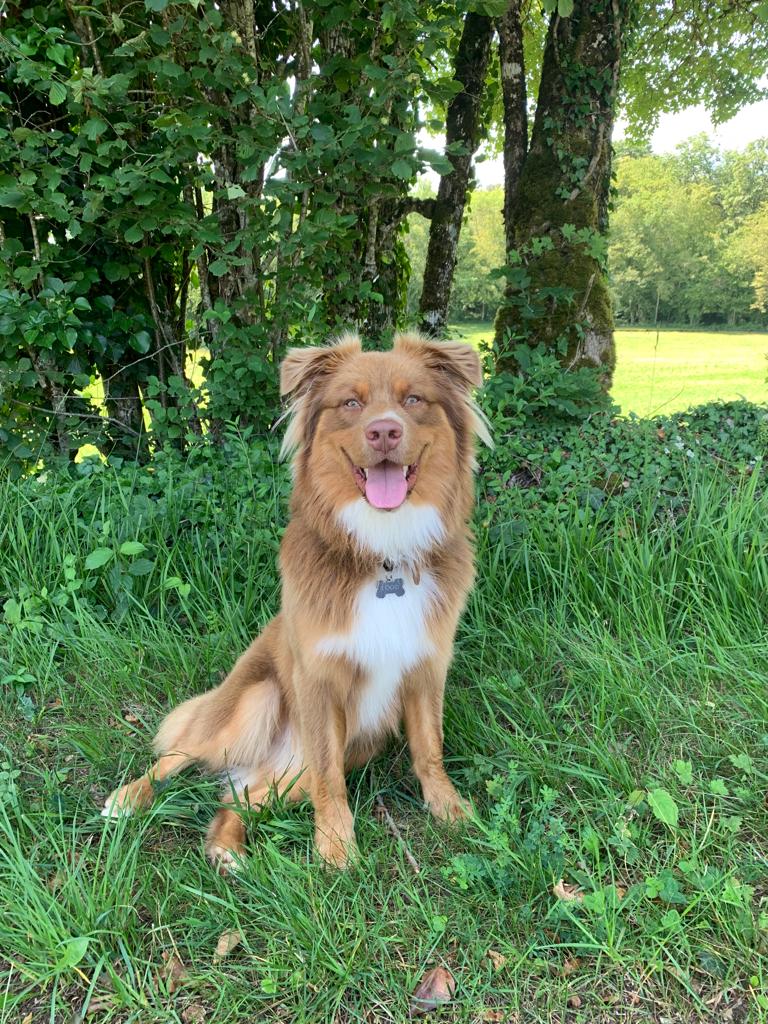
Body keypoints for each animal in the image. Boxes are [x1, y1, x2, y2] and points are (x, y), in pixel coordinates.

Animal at [102, 331, 489, 868]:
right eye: (351, 403)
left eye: (414, 400)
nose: (385, 432)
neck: (383, 555)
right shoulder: (318, 683)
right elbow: (331, 778)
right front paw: (336, 847)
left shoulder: (426, 669)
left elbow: (430, 747)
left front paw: (450, 810)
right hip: (254, 702)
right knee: (179, 754)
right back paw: (129, 798)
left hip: (324, 760)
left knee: (241, 798)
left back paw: (226, 849)